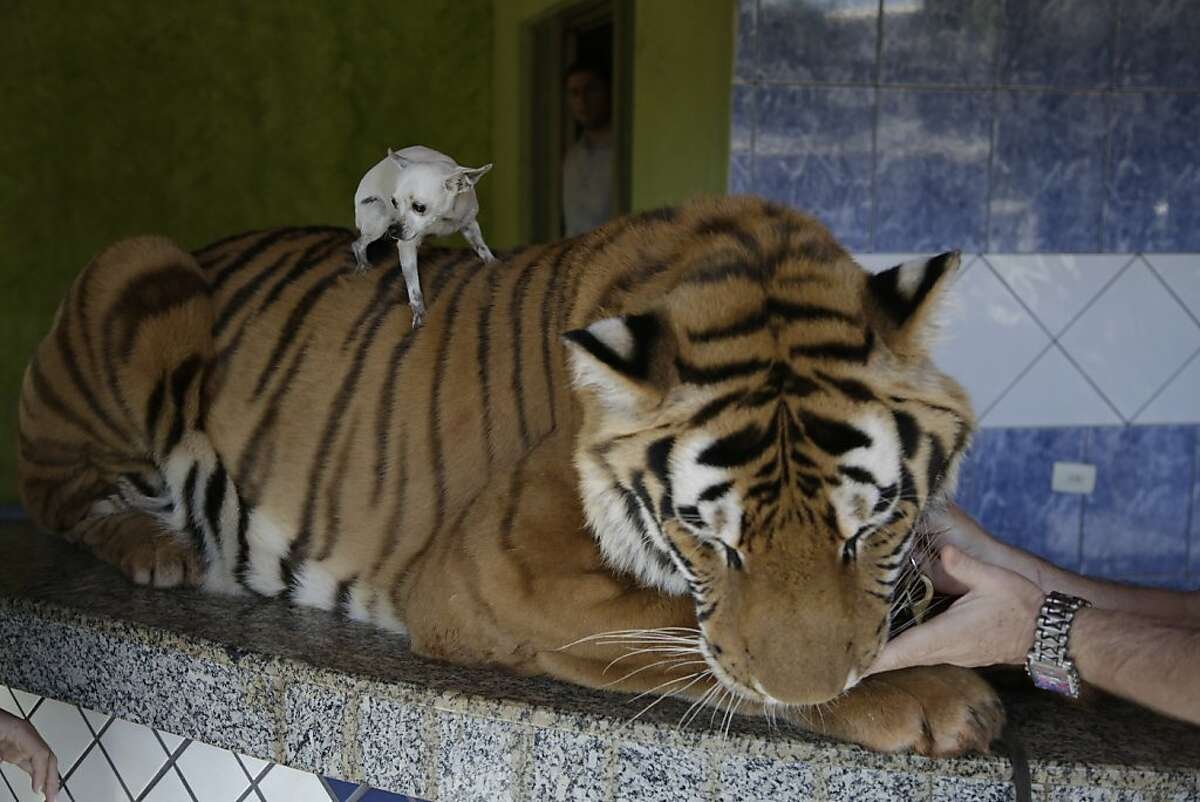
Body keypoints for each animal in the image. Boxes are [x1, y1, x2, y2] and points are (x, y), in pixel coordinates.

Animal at [17, 195, 1003, 755]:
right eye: (709, 537)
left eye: (870, 525)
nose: (812, 693)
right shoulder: (498, 573)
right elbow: (683, 639)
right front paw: (933, 695)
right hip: (141, 262)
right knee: (52, 494)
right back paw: (156, 548)